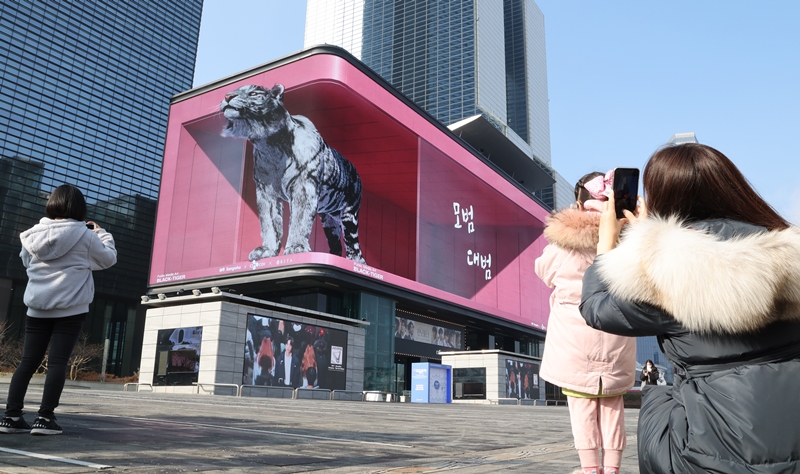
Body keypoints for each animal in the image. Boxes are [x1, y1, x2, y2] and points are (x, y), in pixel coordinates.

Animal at [222, 84, 366, 262]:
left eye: (253, 93)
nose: (227, 96)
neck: (269, 145)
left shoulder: (303, 186)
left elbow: (299, 219)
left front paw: (296, 248)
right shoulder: (266, 192)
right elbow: (269, 222)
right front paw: (267, 250)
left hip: (349, 213)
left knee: (353, 244)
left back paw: (355, 262)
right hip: (329, 220)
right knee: (335, 242)